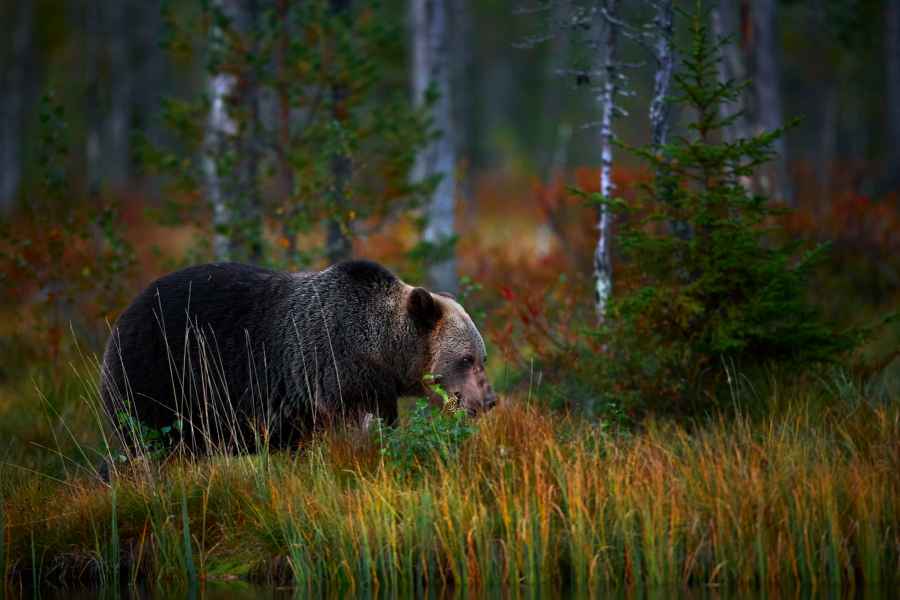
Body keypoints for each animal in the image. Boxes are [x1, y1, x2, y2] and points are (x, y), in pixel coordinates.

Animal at [100, 260, 495, 454]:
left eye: (482, 357)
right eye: (465, 359)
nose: (488, 400)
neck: (381, 350)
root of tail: (121, 318)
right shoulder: (334, 371)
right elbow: (352, 428)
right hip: (160, 375)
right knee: (150, 440)